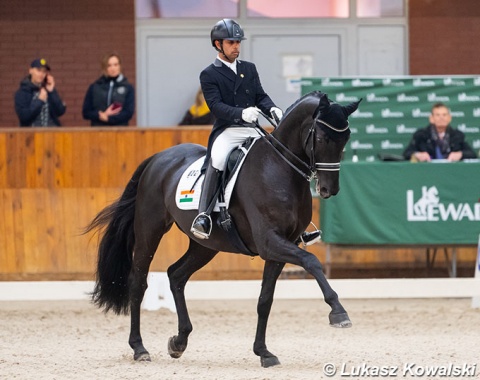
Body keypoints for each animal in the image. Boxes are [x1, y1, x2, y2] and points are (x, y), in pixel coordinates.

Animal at [87, 90, 360, 368]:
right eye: (322, 137)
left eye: (346, 137)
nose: (329, 189)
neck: (278, 168)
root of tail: (158, 158)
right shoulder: (270, 242)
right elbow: (311, 261)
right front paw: (339, 313)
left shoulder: (282, 246)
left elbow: (265, 300)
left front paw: (264, 352)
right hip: (149, 230)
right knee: (138, 282)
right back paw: (139, 348)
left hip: (206, 245)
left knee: (176, 275)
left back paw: (179, 341)